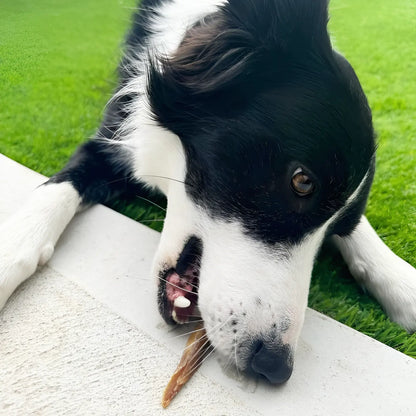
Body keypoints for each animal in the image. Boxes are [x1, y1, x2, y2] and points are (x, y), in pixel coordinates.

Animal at [0, 0, 416, 384]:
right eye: (302, 181)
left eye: (338, 228)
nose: (274, 366)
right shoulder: (111, 136)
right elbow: (55, 191)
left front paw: (401, 281)